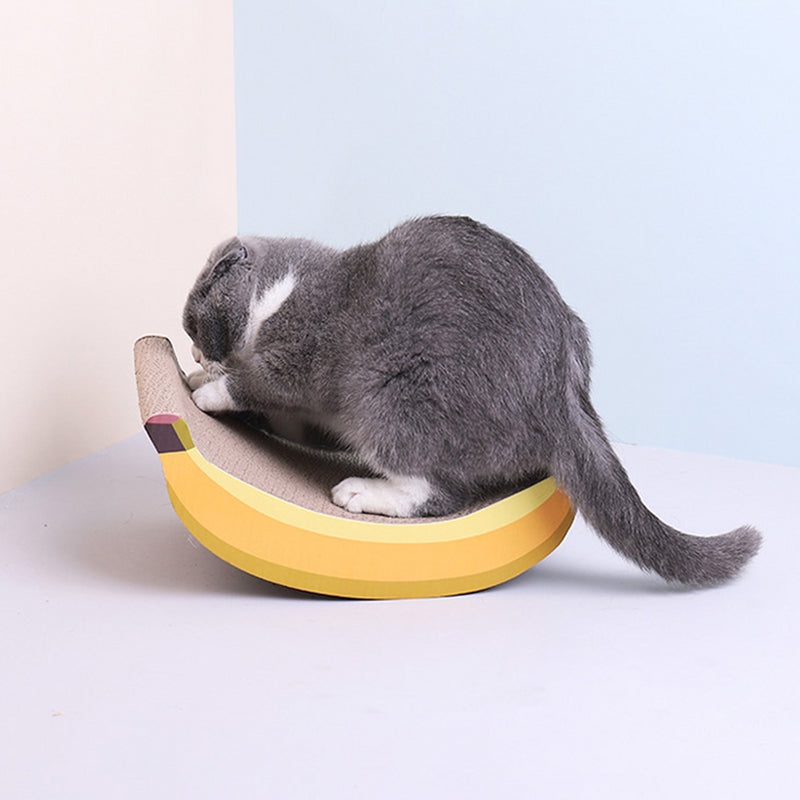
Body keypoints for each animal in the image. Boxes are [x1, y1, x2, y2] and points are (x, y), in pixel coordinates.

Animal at [183, 216, 764, 584]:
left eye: (192, 320)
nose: (192, 347)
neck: (282, 289)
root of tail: (560, 387)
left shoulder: (301, 355)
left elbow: (258, 381)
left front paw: (208, 387)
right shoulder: (310, 417)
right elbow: (287, 420)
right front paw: (206, 376)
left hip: (392, 395)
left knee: (439, 492)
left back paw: (362, 491)